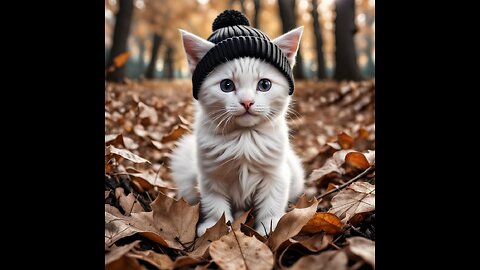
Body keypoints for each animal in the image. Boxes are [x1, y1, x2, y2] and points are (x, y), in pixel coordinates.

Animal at [170, 26, 304, 235]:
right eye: (227, 85)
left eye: (264, 84)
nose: (247, 102)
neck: (244, 139)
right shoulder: (210, 176)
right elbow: (215, 206)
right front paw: (214, 228)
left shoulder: (276, 174)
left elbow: (272, 203)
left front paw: (270, 227)